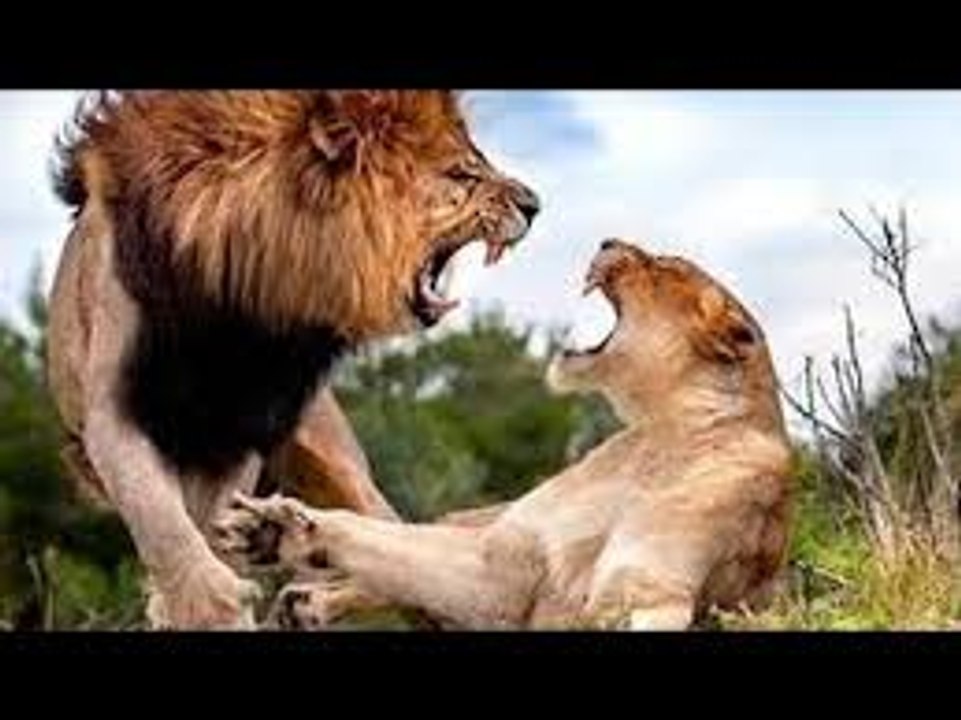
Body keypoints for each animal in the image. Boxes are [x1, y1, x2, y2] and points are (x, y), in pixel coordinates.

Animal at [45, 90, 540, 629]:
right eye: (461, 173)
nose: (534, 205)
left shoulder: (238, 430)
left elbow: (204, 523)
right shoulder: (114, 411)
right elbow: (161, 520)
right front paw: (204, 601)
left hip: (345, 473)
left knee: (420, 555)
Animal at [213, 238, 793, 630]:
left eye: (664, 265)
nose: (606, 241)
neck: (660, 432)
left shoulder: (643, 594)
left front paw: (278, 532)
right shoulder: (503, 561)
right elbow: (378, 543)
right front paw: (272, 529)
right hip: (469, 519)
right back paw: (307, 597)